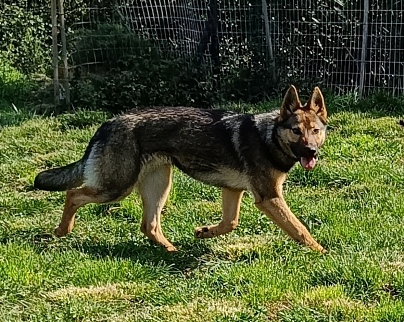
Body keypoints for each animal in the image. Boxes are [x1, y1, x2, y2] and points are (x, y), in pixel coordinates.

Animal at [34, 85, 328, 254]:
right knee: (73, 194)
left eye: (315, 131)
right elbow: (299, 229)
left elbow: (230, 223)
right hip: (116, 188)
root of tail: (106, 124)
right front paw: (321, 253)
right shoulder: (269, 198)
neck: (270, 137)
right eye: (296, 131)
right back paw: (62, 231)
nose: (311, 152)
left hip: (159, 185)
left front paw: (204, 232)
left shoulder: (233, 190)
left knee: (148, 225)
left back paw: (171, 250)